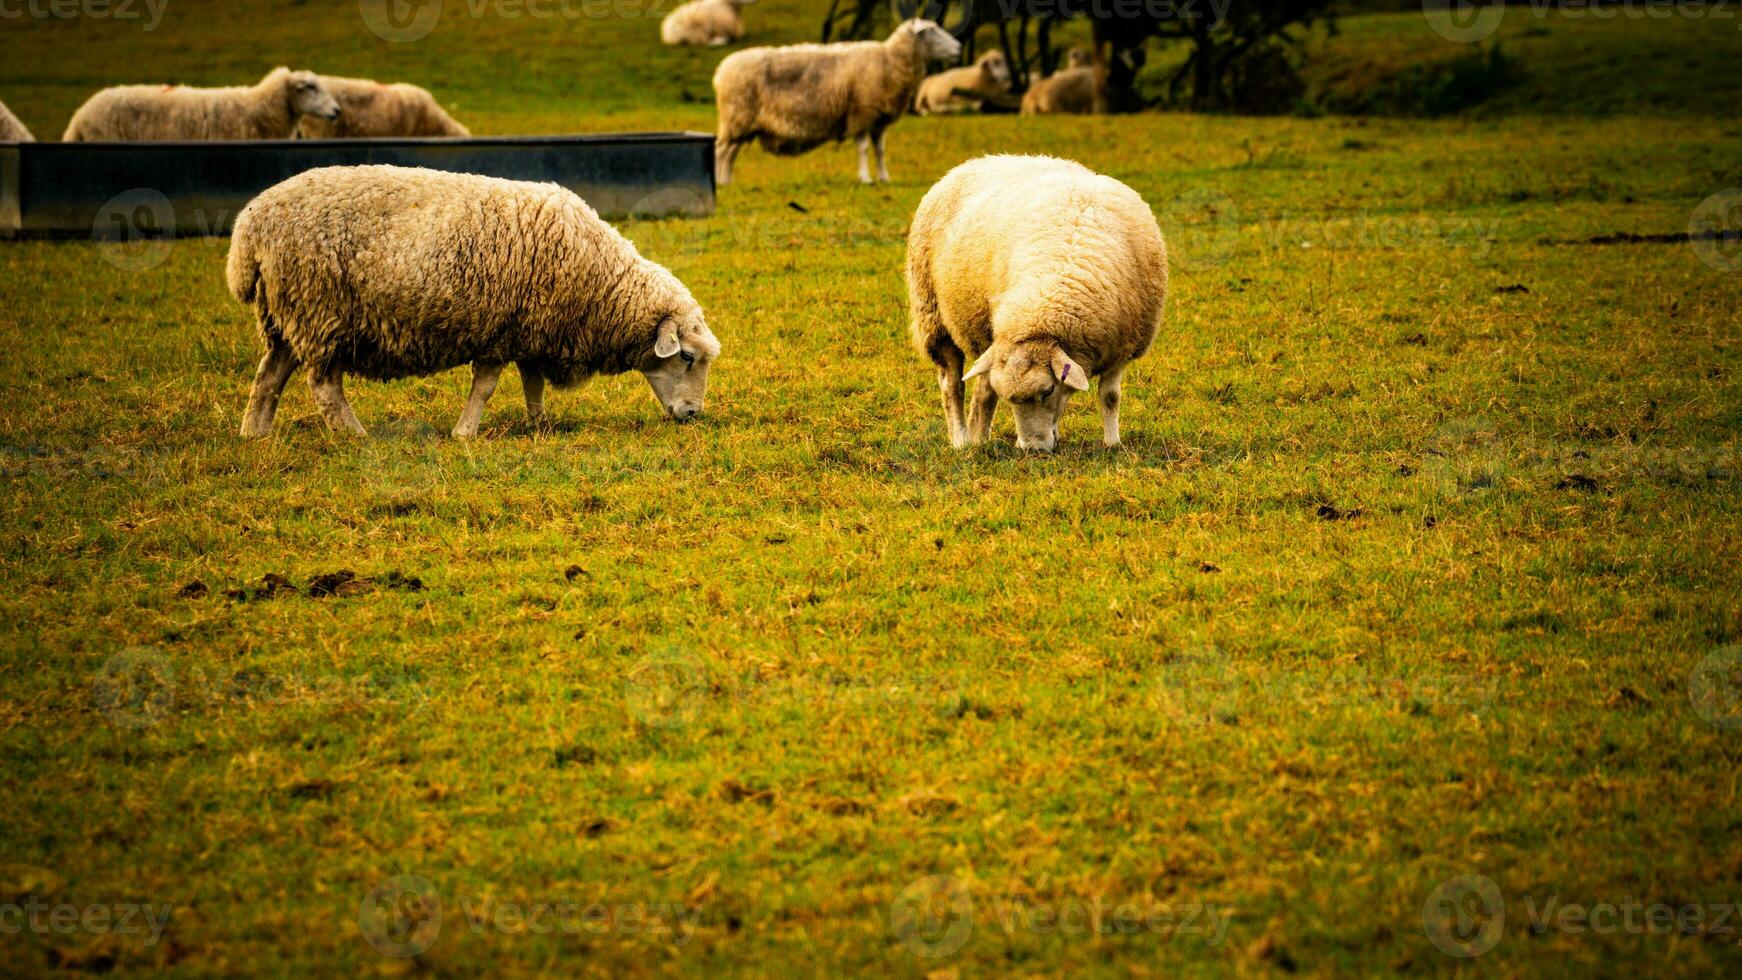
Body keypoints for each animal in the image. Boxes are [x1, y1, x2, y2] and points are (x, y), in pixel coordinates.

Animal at [226, 166, 721, 440]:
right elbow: (485, 387)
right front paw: (464, 433)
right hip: (319, 310)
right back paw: (355, 436)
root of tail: (249, 228)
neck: (598, 280)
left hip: (286, 315)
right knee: (325, 387)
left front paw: (539, 424)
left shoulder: (527, 329)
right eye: (687, 357)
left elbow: (532, 384)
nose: (692, 415)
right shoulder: (499, 333)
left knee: (268, 377)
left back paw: (254, 435)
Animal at [710, 18, 968, 185]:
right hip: (737, 115)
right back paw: (721, 182)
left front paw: (884, 177)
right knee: (722, 149)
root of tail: (721, 71)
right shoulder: (861, 112)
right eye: (931, 31)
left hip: (742, 121)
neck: (889, 60)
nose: (959, 48)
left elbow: (880, 150)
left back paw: (727, 179)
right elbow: (864, 148)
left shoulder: (879, 120)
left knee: (730, 151)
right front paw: (865, 178)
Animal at [905, 154, 1163, 456]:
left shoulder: (1120, 346)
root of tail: (971, 163)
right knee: (952, 385)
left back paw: (980, 437)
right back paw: (961, 439)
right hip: (934, 317)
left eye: (1047, 391)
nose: (1032, 449)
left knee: (982, 390)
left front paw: (1112, 442)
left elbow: (1109, 396)